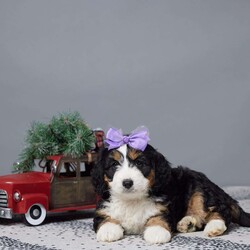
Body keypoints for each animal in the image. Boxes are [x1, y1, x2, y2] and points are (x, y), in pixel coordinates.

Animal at [91, 126, 250, 243]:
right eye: (113, 165)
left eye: (140, 163)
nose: (127, 183)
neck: (132, 201)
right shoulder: (103, 208)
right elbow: (104, 218)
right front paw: (108, 230)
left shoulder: (164, 207)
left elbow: (159, 217)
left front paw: (156, 231)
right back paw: (188, 223)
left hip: (199, 191)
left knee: (220, 211)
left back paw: (214, 226)